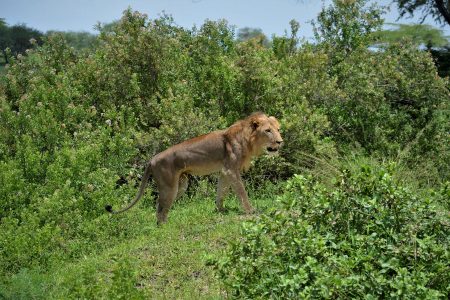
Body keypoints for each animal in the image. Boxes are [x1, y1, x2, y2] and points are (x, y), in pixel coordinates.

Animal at [105, 111, 282, 224]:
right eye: (268, 131)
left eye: (278, 129)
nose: (280, 141)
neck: (248, 140)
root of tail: (151, 159)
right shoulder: (231, 170)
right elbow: (241, 192)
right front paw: (250, 211)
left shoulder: (225, 171)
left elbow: (221, 192)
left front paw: (220, 210)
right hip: (169, 186)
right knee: (161, 208)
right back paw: (165, 227)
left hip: (181, 185)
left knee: (159, 206)